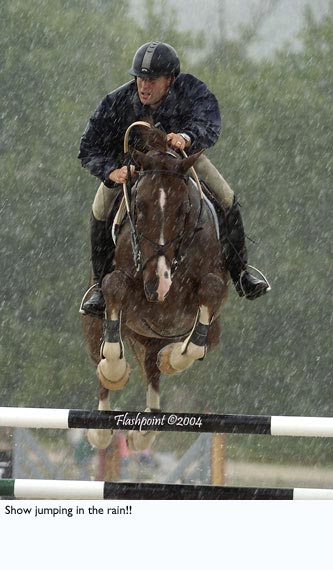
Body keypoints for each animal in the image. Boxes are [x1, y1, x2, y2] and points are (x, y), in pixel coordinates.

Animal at [81, 124, 230, 448]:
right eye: (137, 207)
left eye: (184, 209)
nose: (157, 284)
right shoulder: (123, 284)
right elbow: (114, 286)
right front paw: (114, 369)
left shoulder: (211, 306)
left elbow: (206, 307)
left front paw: (172, 358)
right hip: (97, 327)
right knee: (103, 359)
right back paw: (102, 426)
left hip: (162, 335)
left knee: (153, 367)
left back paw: (146, 429)